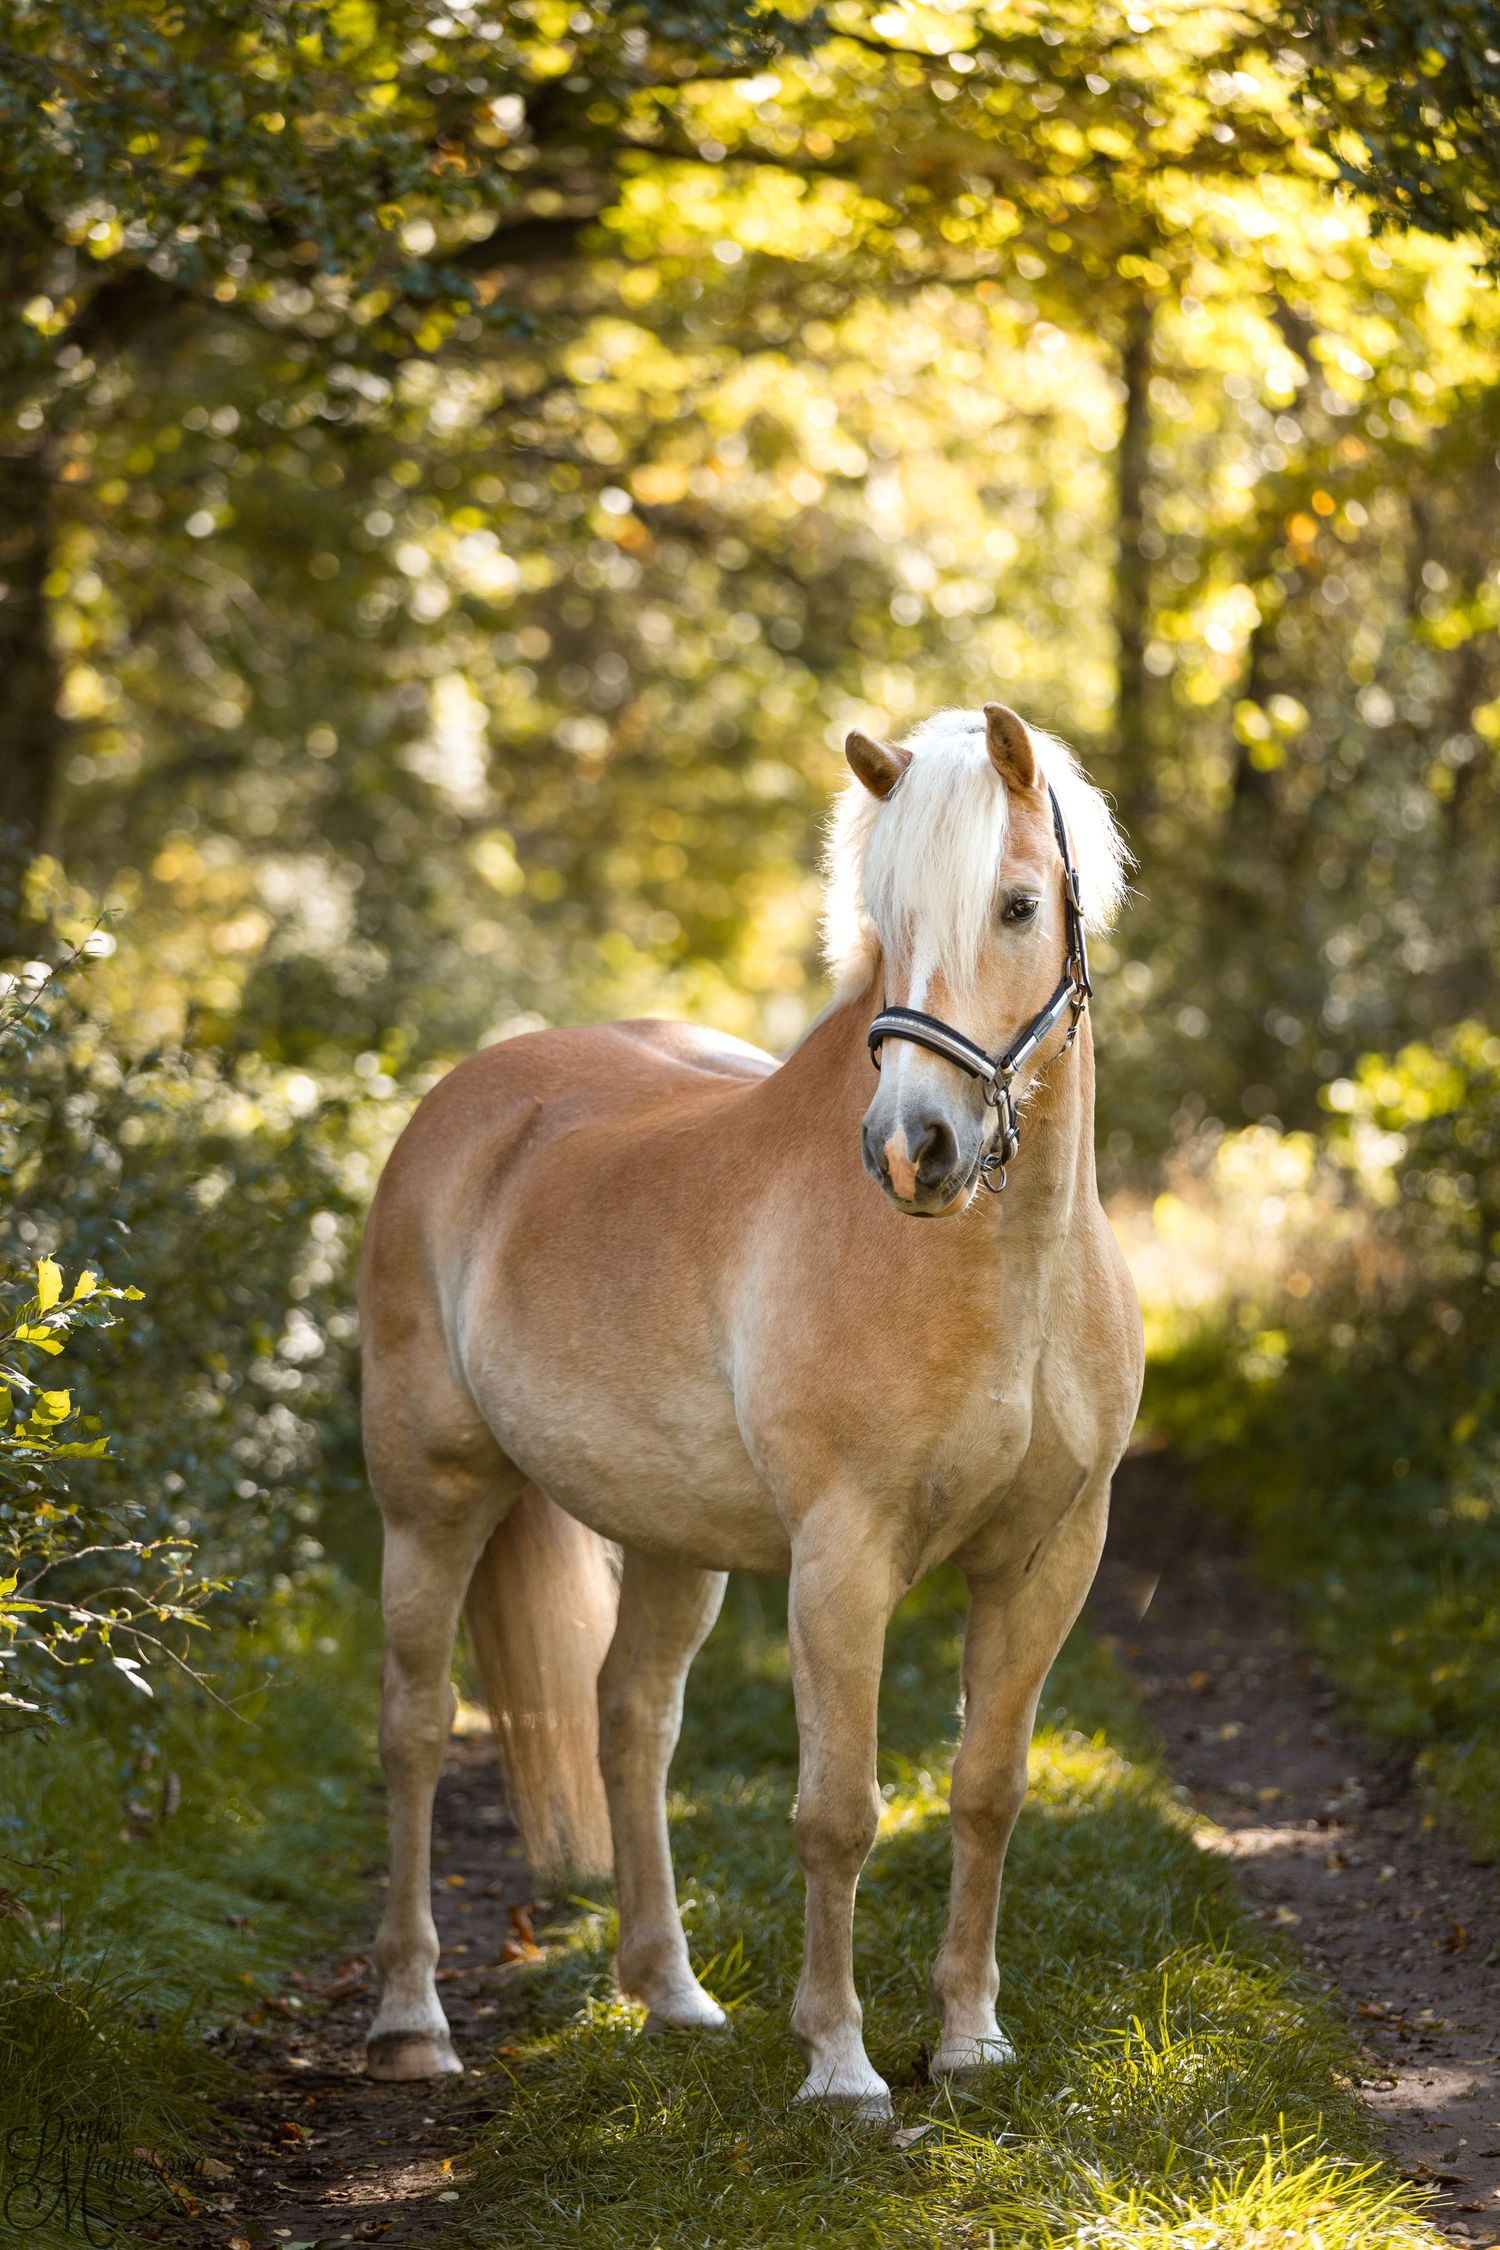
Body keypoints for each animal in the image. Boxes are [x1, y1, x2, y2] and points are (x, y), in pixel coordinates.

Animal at [359, 701, 1142, 2114]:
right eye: (884, 915)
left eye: (1016, 906)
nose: (913, 1150)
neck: (1015, 1268)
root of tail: (470, 1099)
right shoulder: (843, 1559)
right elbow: (837, 1812)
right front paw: (840, 2066)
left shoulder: (1049, 1558)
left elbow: (987, 1793)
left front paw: (970, 2042)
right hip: (430, 1503)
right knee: (413, 1732)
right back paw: (410, 2022)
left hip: (673, 1542)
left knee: (630, 1720)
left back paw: (670, 1995)